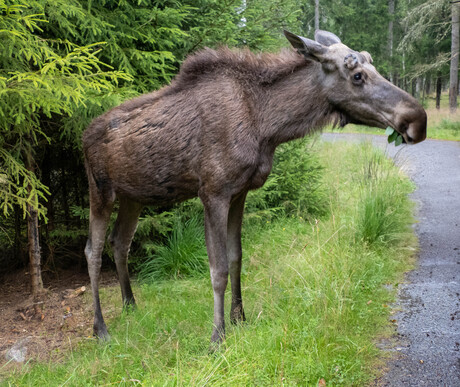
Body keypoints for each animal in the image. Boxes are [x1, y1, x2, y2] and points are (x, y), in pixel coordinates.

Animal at [82, 29, 428, 346]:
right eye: (357, 75)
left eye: (371, 63)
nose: (418, 119)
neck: (268, 127)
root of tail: (83, 136)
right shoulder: (213, 193)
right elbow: (218, 269)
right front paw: (217, 336)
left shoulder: (240, 192)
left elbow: (237, 257)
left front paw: (240, 318)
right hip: (100, 190)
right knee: (93, 251)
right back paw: (101, 329)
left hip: (133, 196)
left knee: (120, 242)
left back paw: (130, 305)